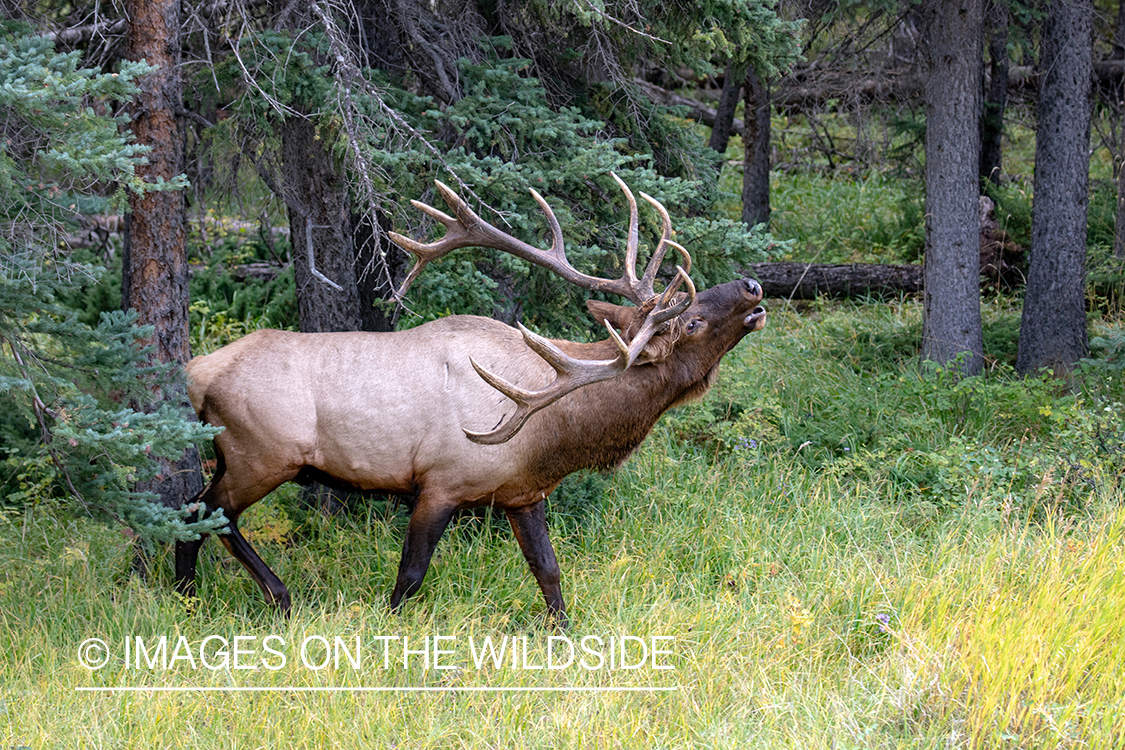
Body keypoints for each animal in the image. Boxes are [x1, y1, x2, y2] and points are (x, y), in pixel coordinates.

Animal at [180, 173, 765, 625]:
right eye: (693, 320)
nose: (753, 286)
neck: (554, 434)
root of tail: (197, 372)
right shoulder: (441, 482)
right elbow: (410, 574)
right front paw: (390, 629)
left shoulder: (523, 493)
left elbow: (549, 572)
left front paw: (563, 635)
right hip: (261, 455)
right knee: (208, 513)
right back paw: (271, 596)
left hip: (242, 458)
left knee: (193, 510)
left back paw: (186, 594)